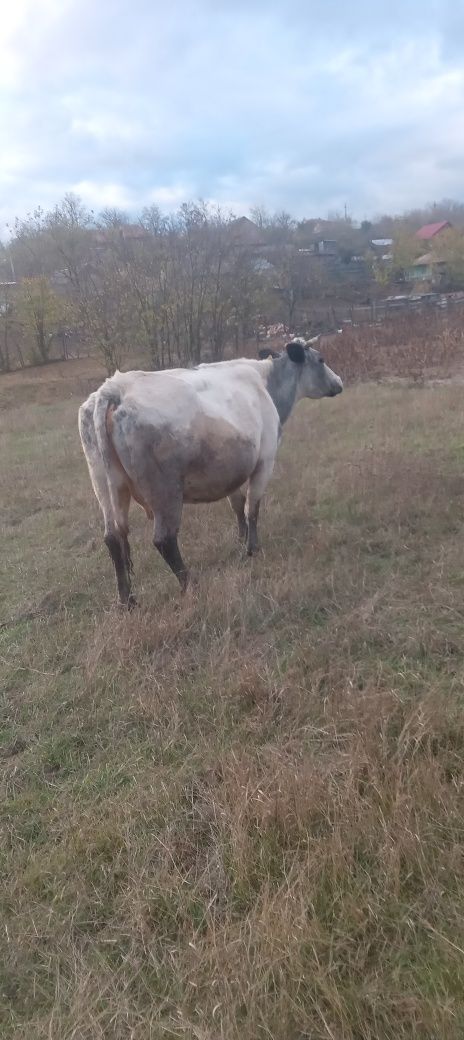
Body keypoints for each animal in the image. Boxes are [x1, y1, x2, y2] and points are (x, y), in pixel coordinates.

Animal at [79, 336, 341, 607]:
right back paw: (189, 585)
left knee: (113, 538)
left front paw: (240, 540)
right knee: (164, 539)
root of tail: (113, 388)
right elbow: (252, 508)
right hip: (165, 491)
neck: (266, 384)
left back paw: (127, 599)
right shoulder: (265, 462)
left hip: (105, 485)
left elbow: (237, 505)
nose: (339, 382)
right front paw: (253, 548)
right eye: (321, 360)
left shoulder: (231, 471)